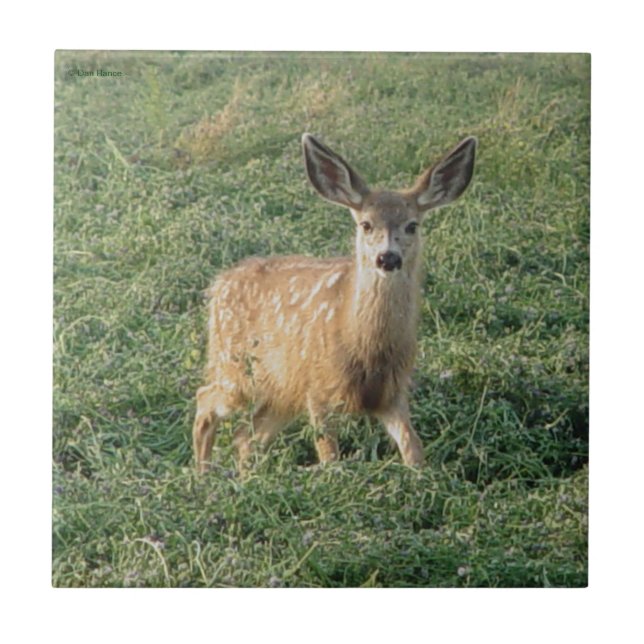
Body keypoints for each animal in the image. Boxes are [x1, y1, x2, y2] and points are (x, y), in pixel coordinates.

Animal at [193, 133, 476, 474]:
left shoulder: (392, 393)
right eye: (366, 224)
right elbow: (329, 456)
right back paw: (202, 476)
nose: (388, 257)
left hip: (280, 391)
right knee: (205, 401)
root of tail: (218, 285)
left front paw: (420, 477)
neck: (363, 345)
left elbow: (413, 447)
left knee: (245, 437)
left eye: (412, 225)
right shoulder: (317, 387)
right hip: (236, 368)